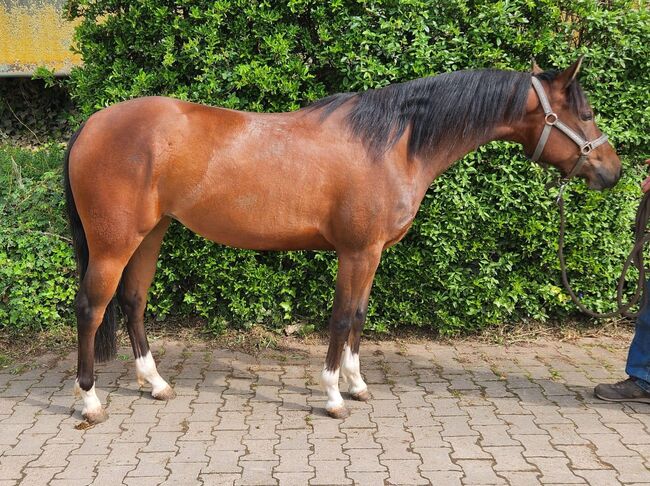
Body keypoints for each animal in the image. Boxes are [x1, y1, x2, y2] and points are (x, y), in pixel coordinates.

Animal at [64, 57, 621, 423]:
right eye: (585, 113)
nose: (612, 172)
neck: (393, 143)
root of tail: (92, 122)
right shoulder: (357, 252)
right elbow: (340, 318)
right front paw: (333, 395)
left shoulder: (370, 255)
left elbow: (358, 315)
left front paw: (357, 385)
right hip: (114, 243)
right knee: (92, 308)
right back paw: (90, 402)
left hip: (150, 233)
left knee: (133, 301)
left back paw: (155, 384)